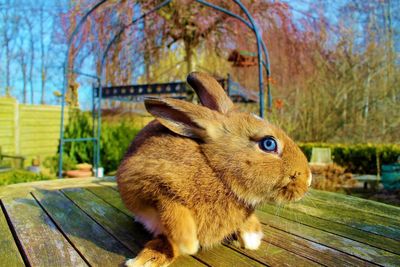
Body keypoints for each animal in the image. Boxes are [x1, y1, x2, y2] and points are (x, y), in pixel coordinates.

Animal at [117, 72, 310, 266]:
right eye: (269, 143)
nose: (308, 181)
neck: (216, 170)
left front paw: (251, 239)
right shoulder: (146, 183)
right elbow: (173, 210)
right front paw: (188, 243)